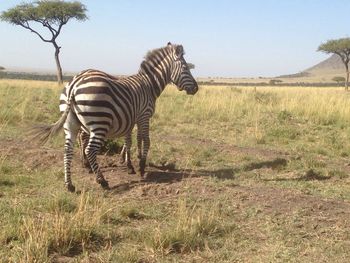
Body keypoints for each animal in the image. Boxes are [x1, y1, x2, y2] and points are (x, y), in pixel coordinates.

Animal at [34, 42, 198, 192]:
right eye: (186, 68)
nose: (196, 88)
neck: (149, 85)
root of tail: (74, 84)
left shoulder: (131, 118)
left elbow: (132, 140)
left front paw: (131, 164)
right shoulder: (144, 115)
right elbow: (146, 140)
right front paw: (142, 167)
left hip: (71, 123)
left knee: (68, 150)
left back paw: (70, 185)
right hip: (99, 123)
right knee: (90, 150)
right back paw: (102, 181)